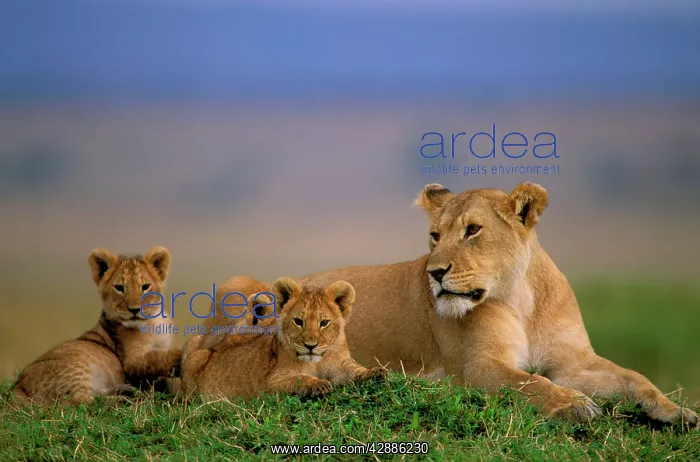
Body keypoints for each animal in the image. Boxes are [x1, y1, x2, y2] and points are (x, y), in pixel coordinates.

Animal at [10, 246, 182, 405]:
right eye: (119, 288)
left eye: (145, 286)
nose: (134, 310)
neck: (152, 322)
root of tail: (16, 389)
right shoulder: (131, 362)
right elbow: (155, 359)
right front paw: (179, 355)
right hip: (75, 368)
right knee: (77, 400)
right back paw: (124, 399)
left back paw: (125, 391)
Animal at [180, 277, 387, 399]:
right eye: (298, 321)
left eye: (324, 323)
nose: (310, 346)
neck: (317, 361)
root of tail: (217, 347)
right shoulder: (271, 382)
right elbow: (300, 378)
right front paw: (317, 384)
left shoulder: (340, 365)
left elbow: (355, 369)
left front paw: (374, 372)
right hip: (194, 359)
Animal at [292, 182, 697, 427]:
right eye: (435, 236)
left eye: (473, 230)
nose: (435, 272)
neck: (522, 299)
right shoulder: (478, 368)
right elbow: (530, 383)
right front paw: (574, 405)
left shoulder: (573, 362)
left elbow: (634, 378)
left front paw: (676, 411)